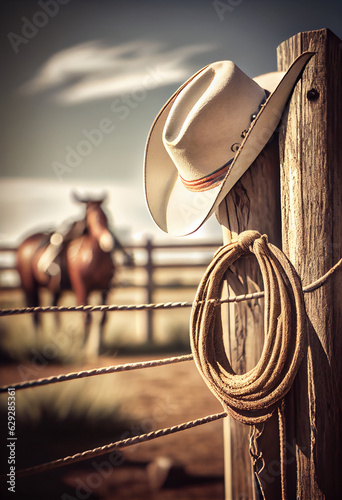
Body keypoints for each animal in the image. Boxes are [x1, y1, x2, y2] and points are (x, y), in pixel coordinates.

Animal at [15, 194, 130, 356]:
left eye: (107, 217)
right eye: (94, 217)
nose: (107, 241)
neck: (91, 257)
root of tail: (25, 243)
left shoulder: (105, 289)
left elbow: (102, 317)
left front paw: (98, 347)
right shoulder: (82, 288)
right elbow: (86, 316)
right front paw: (83, 347)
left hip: (56, 290)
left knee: (54, 310)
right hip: (29, 286)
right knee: (35, 315)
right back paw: (37, 341)